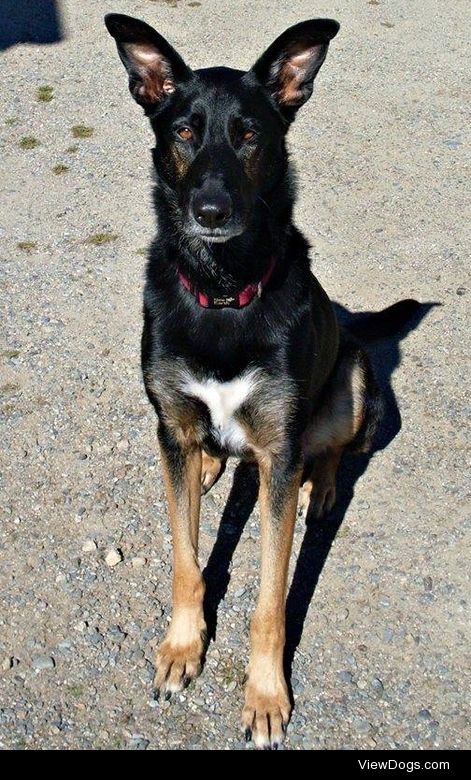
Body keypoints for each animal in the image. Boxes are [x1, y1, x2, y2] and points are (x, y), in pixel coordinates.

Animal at [105, 15, 418, 748]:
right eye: (183, 132)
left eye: (249, 134)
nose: (211, 211)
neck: (223, 291)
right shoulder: (170, 427)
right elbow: (186, 563)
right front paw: (181, 648)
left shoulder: (277, 452)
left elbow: (271, 602)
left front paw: (266, 693)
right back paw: (213, 466)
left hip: (353, 381)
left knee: (331, 448)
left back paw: (322, 488)